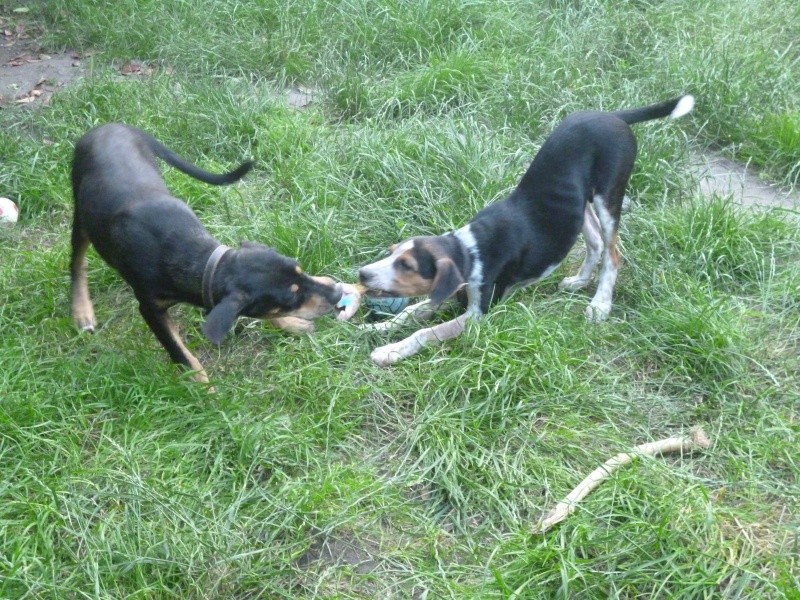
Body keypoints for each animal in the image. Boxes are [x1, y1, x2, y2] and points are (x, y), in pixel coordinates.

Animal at [72, 124, 350, 382]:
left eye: (300, 269)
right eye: (290, 298)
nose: (338, 293)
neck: (200, 259)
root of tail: (110, 126)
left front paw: (292, 324)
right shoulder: (150, 308)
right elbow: (179, 352)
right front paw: (201, 385)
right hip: (80, 213)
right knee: (77, 260)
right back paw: (82, 311)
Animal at [358, 94, 692, 366]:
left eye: (407, 265)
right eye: (391, 253)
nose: (361, 274)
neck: (468, 249)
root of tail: (612, 115)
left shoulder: (477, 314)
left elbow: (426, 331)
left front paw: (390, 351)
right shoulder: (453, 293)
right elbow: (410, 312)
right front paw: (378, 327)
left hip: (608, 195)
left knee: (612, 253)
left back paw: (600, 304)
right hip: (576, 204)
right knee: (594, 241)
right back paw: (579, 281)